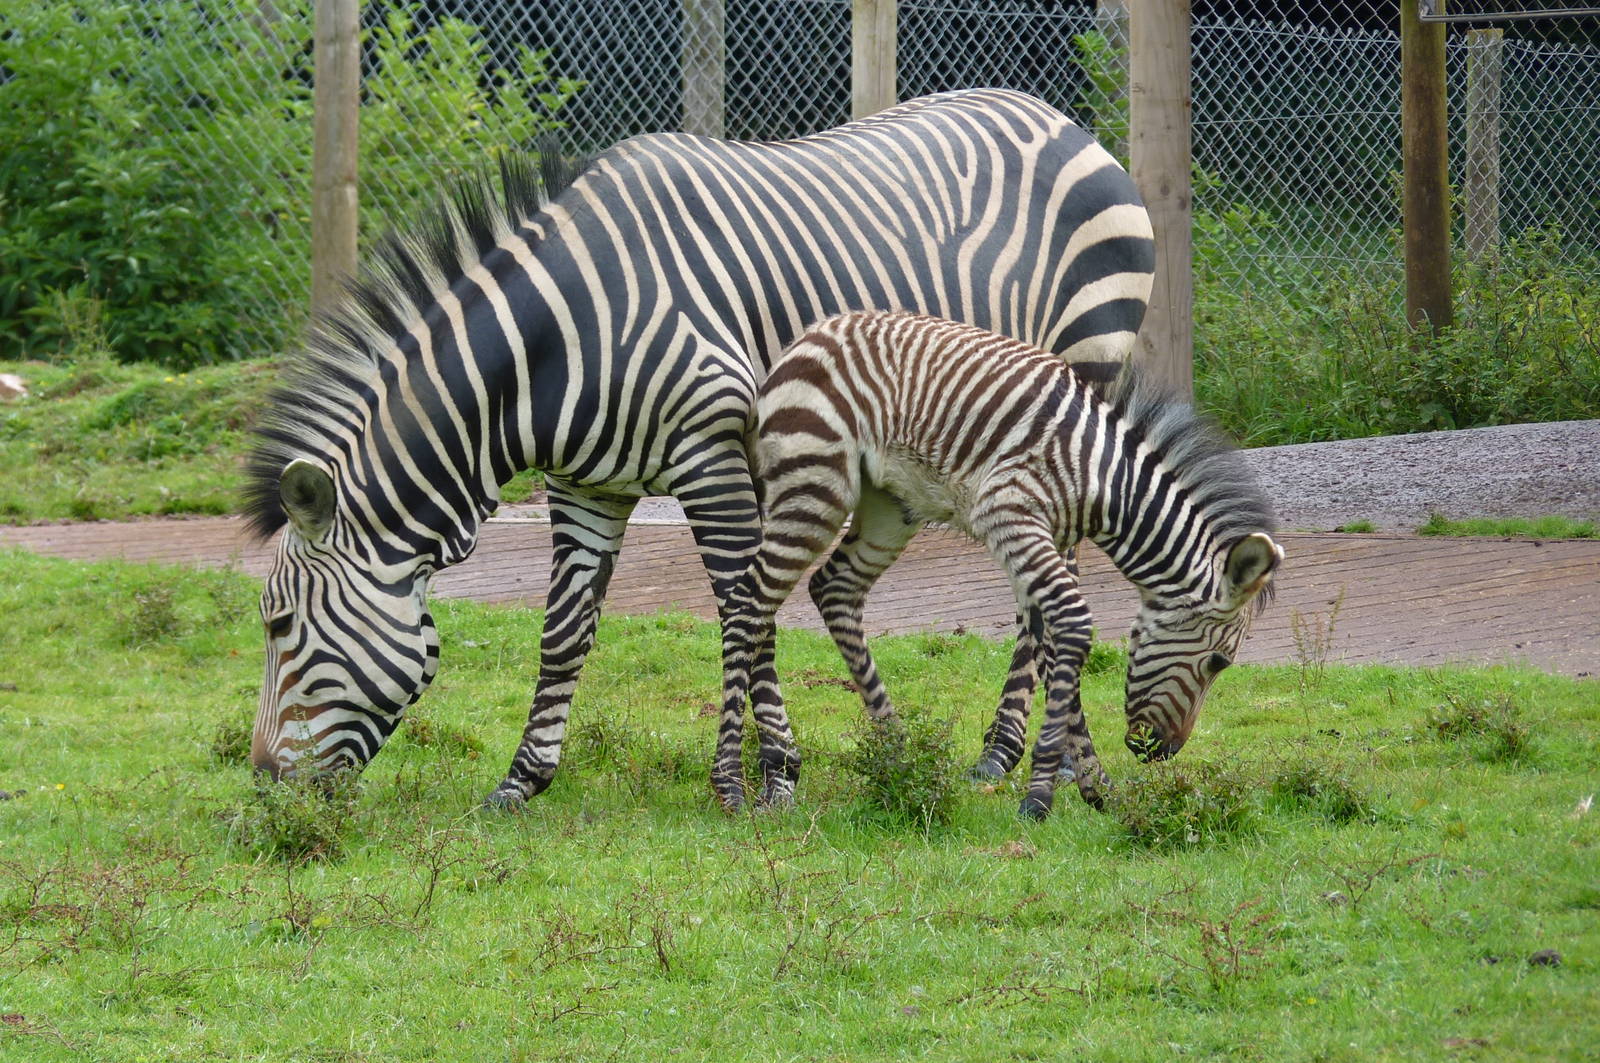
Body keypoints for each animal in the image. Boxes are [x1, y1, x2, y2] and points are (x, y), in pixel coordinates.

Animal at [242, 88, 1156, 811]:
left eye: (280, 622)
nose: (262, 783)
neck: (554, 348)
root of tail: (1061, 119)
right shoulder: (587, 486)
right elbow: (563, 630)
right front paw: (522, 777)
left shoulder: (712, 455)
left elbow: (746, 608)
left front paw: (773, 772)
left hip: (1074, 377)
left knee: (1051, 580)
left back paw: (1010, 756)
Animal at [721, 311, 1282, 817]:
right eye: (1218, 663)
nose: (1161, 752)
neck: (1105, 481)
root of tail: (808, 338)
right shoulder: (1010, 514)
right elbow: (1074, 626)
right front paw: (1039, 797)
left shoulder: (1042, 537)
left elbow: (1052, 645)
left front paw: (1095, 786)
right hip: (815, 485)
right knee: (747, 603)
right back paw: (731, 784)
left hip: (888, 505)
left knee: (832, 589)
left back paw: (901, 757)